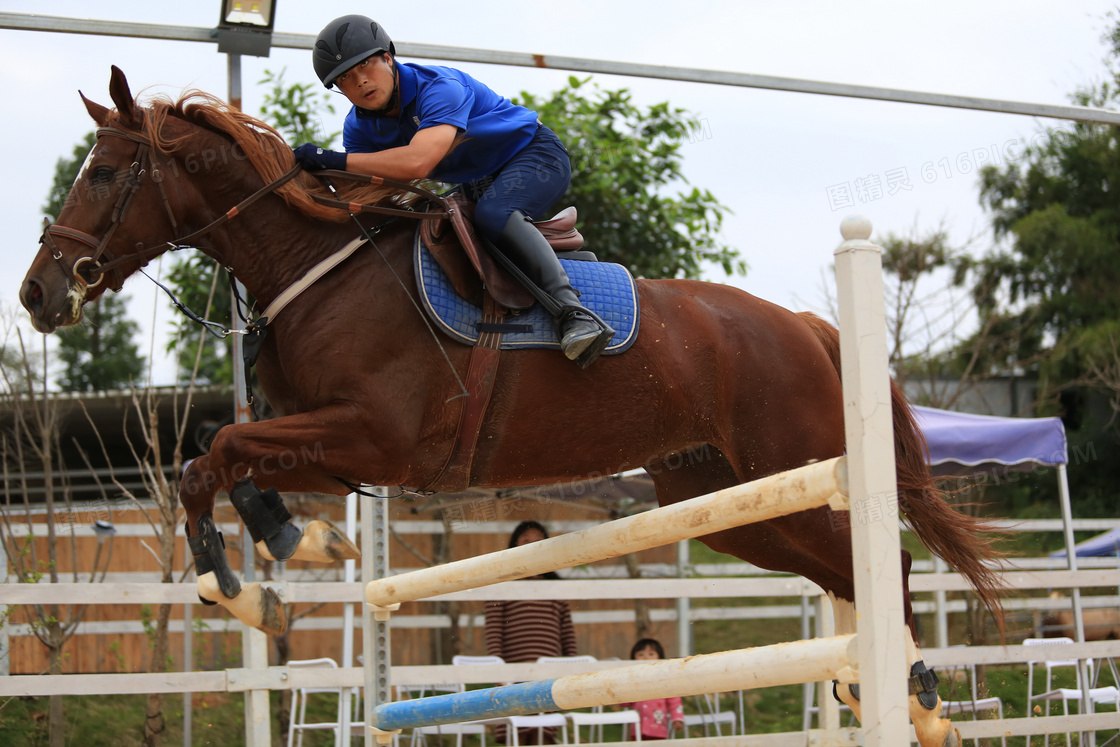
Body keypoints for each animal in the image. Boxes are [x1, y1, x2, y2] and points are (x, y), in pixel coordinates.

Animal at [19, 67, 999, 743]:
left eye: (104, 173)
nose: (37, 294)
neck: (315, 266)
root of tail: (808, 324)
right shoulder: (334, 447)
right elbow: (226, 455)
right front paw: (290, 552)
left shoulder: (377, 438)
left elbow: (217, 451)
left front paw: (248, 579)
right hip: (730, 504)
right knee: (844, 572)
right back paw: (877, 688)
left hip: (792, 467)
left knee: (885, 562)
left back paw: (918, 698)